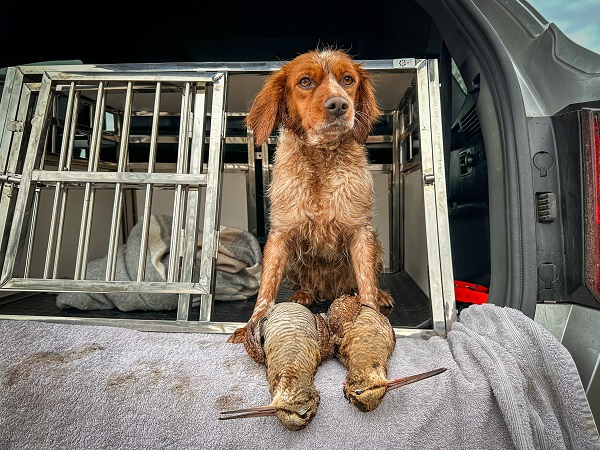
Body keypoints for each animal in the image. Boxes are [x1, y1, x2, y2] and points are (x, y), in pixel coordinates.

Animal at [227, 49, 392, 342]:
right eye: (305, 82)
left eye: (348, 80)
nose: (338, 105)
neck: (321, 157)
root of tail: (328, 291)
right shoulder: (280, 234)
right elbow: (265, 290)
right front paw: (250, 327)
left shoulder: (361, 232)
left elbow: (367, 285)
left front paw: (373, 319)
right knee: (305, 284)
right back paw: (303, 294)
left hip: (375, 244)